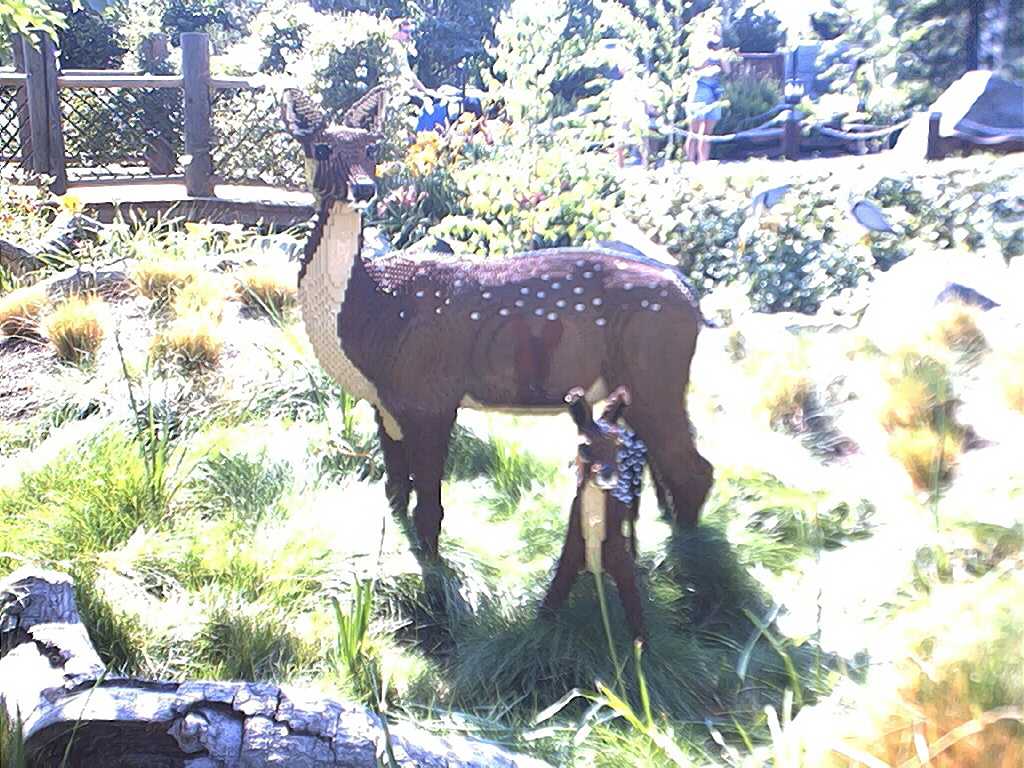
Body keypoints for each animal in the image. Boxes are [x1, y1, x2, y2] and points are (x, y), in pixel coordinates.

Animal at [280, 87, 713, 558]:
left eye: (371, 148)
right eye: (321, 147)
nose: (364, 187)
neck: (371, 311)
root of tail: (690, 296)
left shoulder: (428, 391)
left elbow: (427, 498)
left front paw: (432, 564)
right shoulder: (384, 403)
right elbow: (394, 485)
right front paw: (392, 545)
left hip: (655, 365)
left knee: (694, 468)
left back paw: (689, 558)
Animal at [541, 386, 648, 639]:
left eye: (619, 450)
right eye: (584, 446)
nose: (607, 475)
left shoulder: (621, 567)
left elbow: (637, 622)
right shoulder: (569, 557)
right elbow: (548, 607)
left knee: (634, 522)